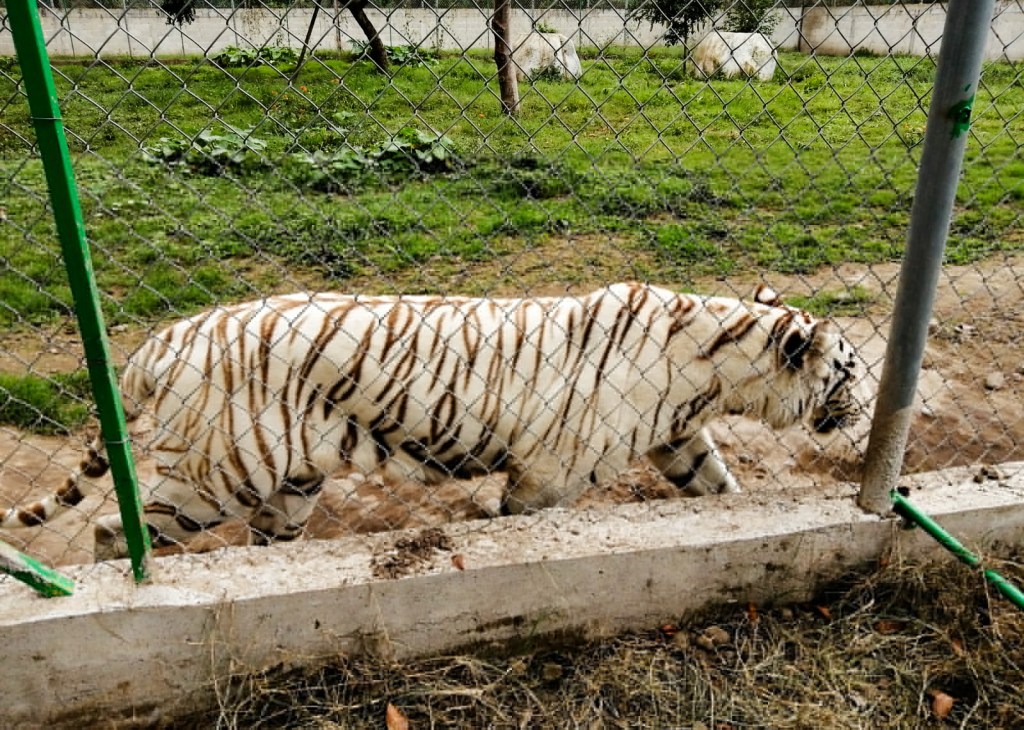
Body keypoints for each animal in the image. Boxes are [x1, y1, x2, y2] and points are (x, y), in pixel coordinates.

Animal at [1, 283, 861, 560]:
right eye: (851, 371)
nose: (863, 411)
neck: (716, 370)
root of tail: (165, 337)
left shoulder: (679, 437)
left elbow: (719, 487)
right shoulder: (550, 472)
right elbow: (521, 521)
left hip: (290, 482)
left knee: (265, 540)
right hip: (219, 473)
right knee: (114, 531)